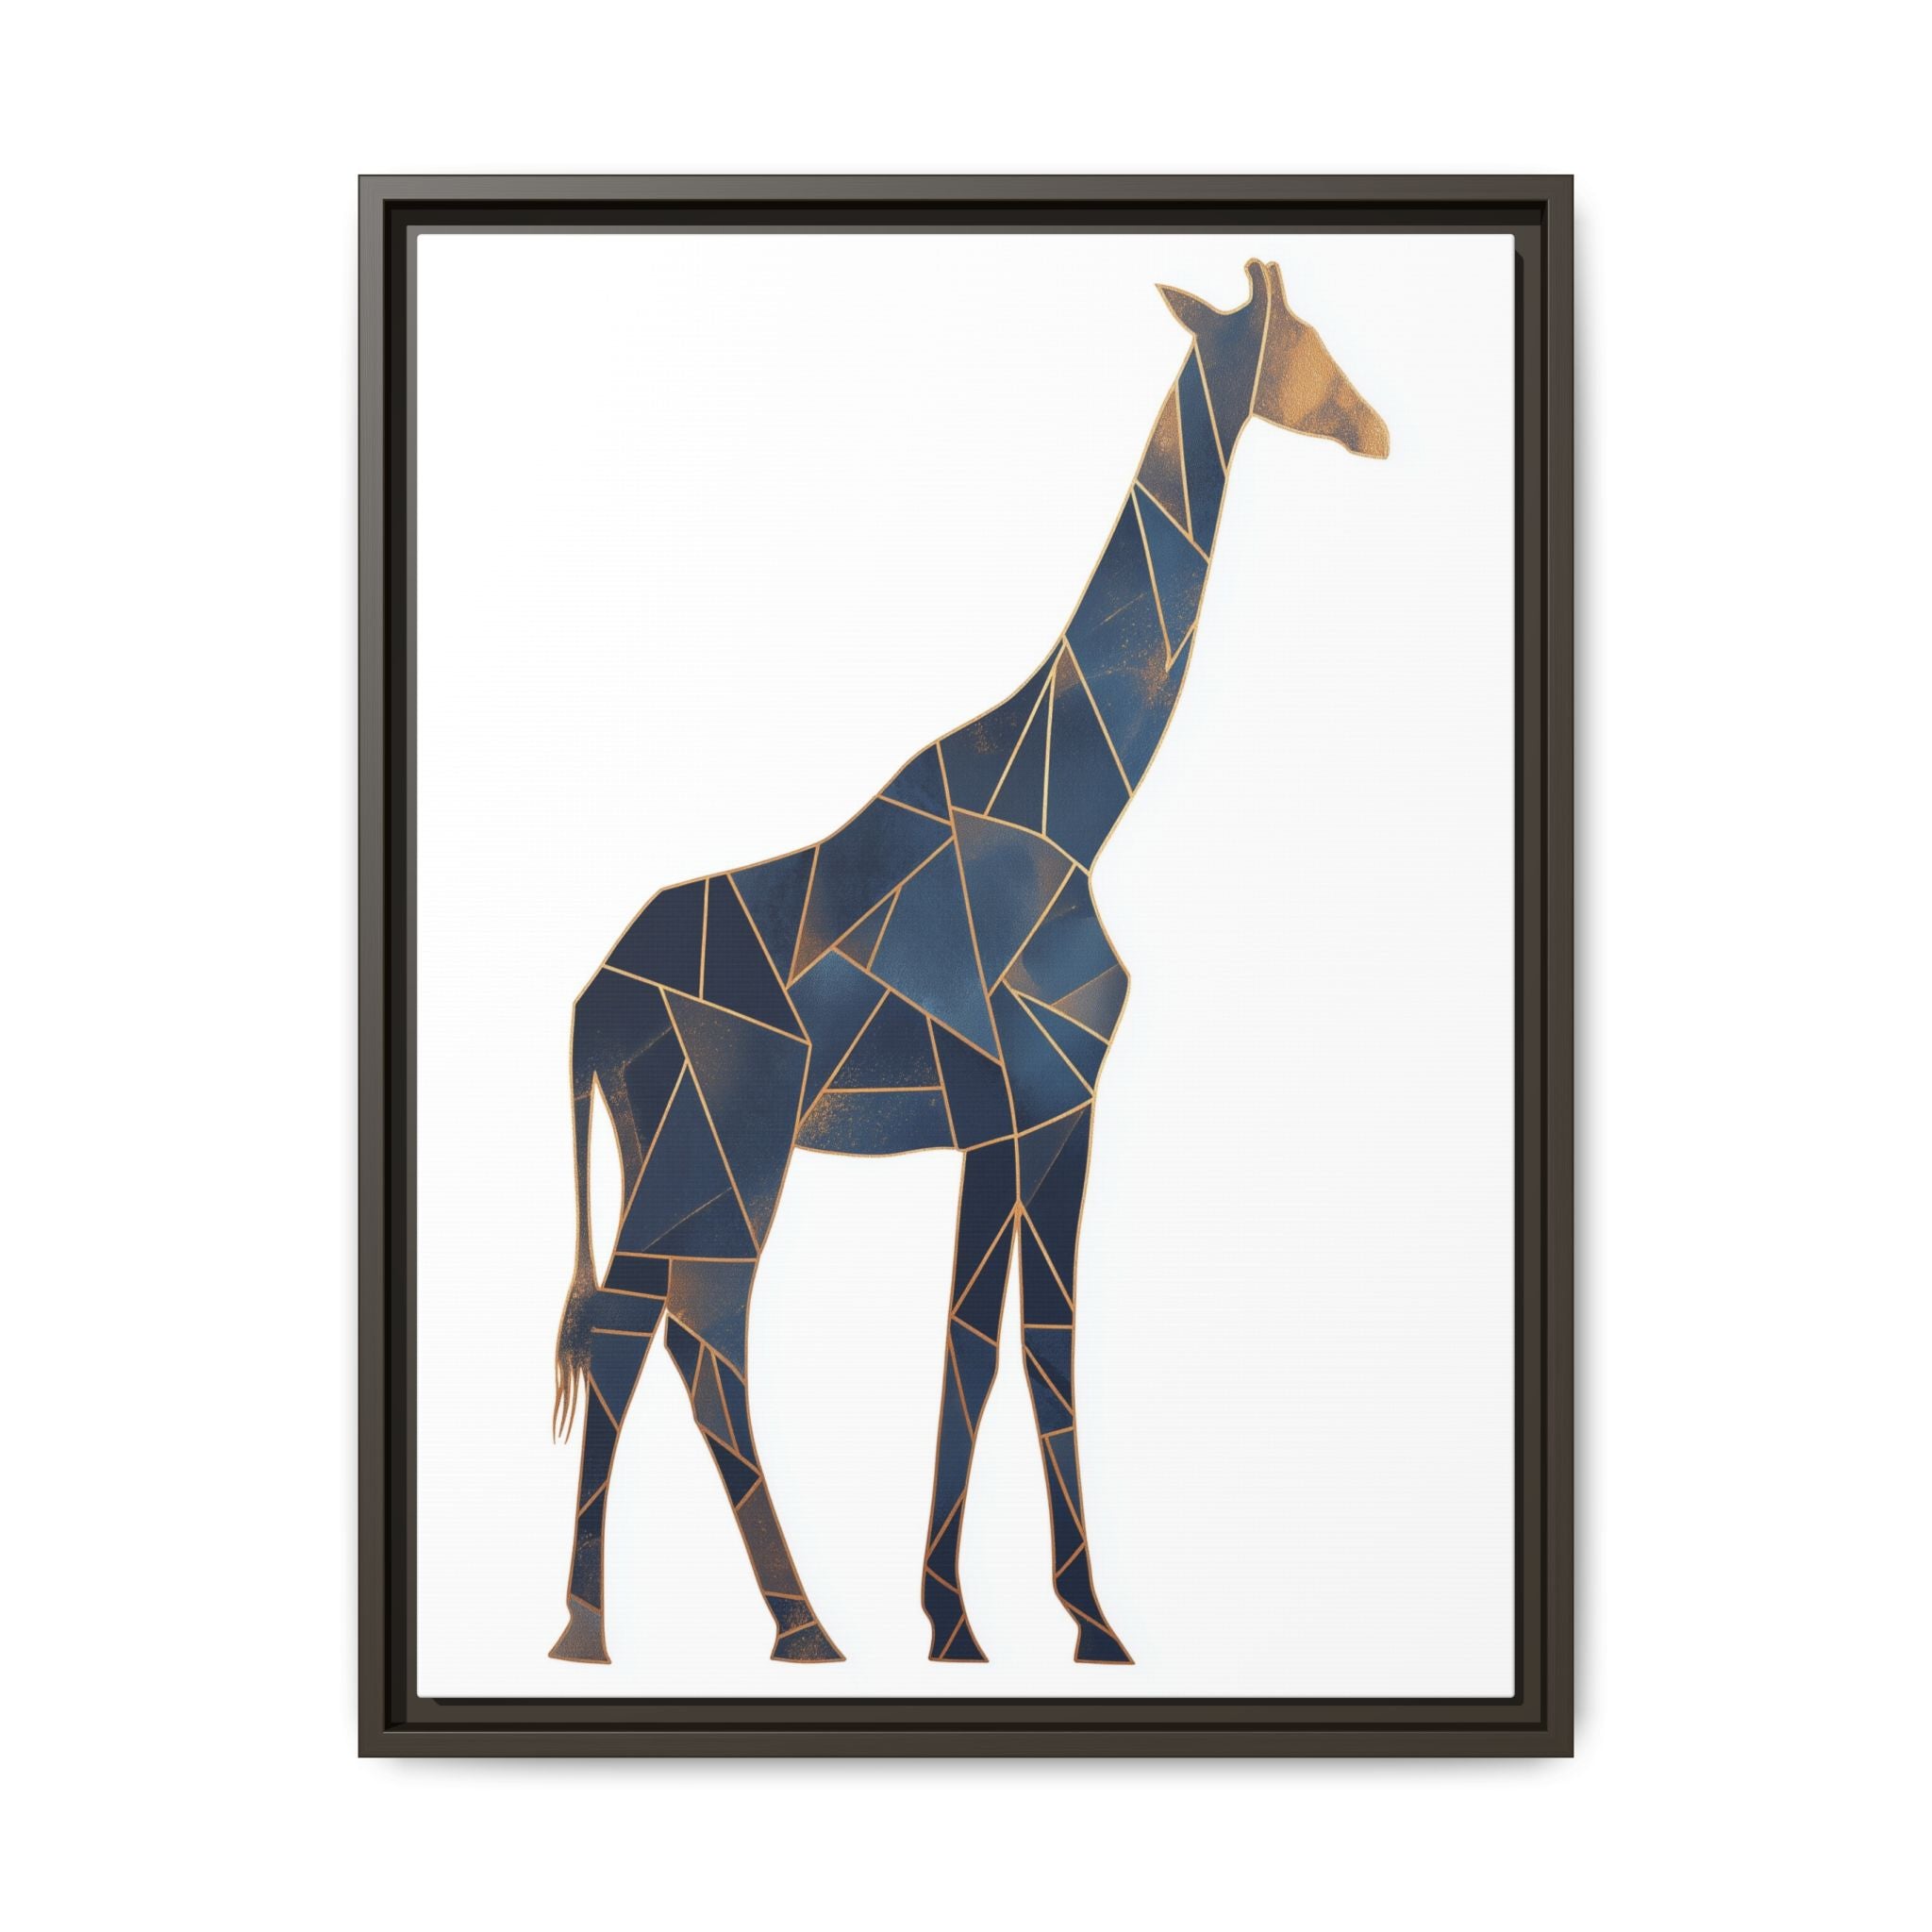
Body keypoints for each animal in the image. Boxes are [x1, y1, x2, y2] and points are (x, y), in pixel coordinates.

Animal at [546, 258, 1389, 1667]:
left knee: (656, 1328)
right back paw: (676, 1629)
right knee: (681, 1328)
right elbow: (1006, 1346)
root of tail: (591, 1002)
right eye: (1306, 340)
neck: (1077, 807)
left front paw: (1027, 1617)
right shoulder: (1032, 1102)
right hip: (727, 1143)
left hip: (665, 1146)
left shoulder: (1033, 1115)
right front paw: (1012, 1623)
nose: (1376, 429)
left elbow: (1006, 1343)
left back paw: (711, 1623)